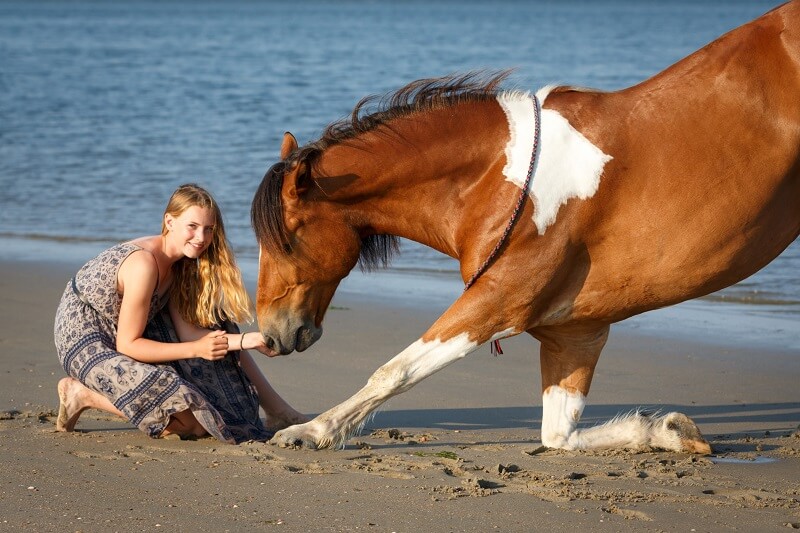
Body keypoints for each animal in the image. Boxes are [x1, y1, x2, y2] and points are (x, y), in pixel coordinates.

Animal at [252, 3, 800, 454]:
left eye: (286, 240)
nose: (272, 335)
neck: (498, 177)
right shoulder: (574, 333)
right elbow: (560, 436)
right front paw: (668, 430)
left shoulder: (497, 301)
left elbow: (395, 371)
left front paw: (311, 431)